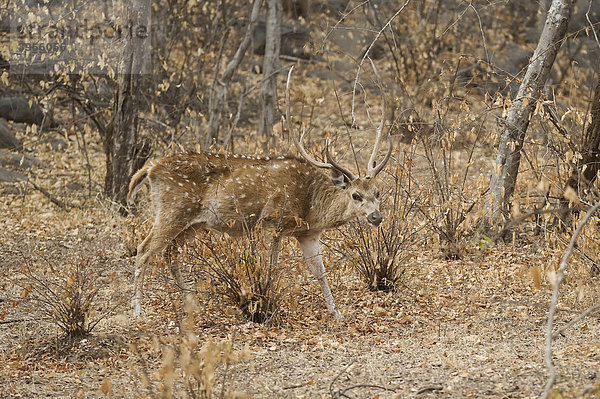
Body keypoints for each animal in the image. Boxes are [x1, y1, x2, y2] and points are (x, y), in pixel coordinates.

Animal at [128, 67, 392, 320]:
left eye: (378, 192)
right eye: (355, 195)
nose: (376, 217)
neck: (310, 207)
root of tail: (150, 168)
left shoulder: (308, 234)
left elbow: (319, 271)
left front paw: (337, 313)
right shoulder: (270, 222)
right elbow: (270, 267)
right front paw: (267, 306)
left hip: (194, 223)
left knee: (171, 253)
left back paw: (192, 304)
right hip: (173, 209)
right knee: (144, 249)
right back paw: (138, 311)